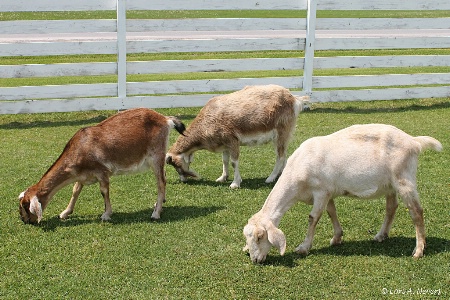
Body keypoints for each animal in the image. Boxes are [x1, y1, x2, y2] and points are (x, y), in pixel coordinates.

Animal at [18, 107, 185, 223]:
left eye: (25, 206)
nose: (24, 220)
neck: (79, 149)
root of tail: (166, 119)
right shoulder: (82, 175)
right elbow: (75, 190)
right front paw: (65, 213)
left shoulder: (102, 171)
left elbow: (104, 191)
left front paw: (106, 214)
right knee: (163, 176)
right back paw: (160, 204)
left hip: (156, 154)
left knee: (161, 182)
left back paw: (156, 213)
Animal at [165, 84, 310, 188]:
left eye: (176, 165)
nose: (183, 180)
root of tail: (294, 99)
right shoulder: (224, 144)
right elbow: (224, 160)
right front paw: (222, 178)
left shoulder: (232, 140)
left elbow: (234, 162)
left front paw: (235, 183)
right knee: (284, 155)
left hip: (281, 132)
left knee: (280, 156)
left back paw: (270, 178)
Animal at [244, 123, 442, 262]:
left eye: (260, 237)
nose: (255, 260)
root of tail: (414, 141)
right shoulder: (328, 192)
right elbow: (331, 212)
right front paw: (337, 238)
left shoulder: (320, 191)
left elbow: (313, 218)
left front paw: (304, 247)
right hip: (390, 184)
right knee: (391, 207)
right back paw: (381, 235)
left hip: (404, 179)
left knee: (416, 212)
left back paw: (418, 250)